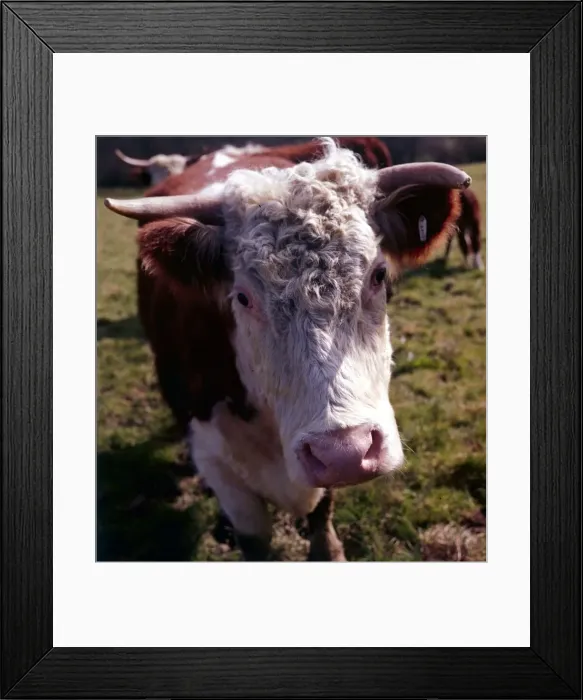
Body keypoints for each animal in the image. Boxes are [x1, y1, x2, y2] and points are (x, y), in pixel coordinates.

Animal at [104, 138, 470, 561]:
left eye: (379, 275)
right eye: (242, 297)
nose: (345, 451)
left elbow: (322, 518)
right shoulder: (218, 464)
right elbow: (254, 539)